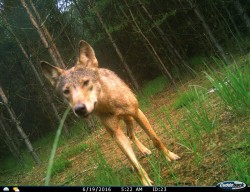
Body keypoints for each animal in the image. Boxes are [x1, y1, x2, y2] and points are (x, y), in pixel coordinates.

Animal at [42, 39, 181, 185]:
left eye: (86, 82)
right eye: (66, 91)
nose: (79, 109)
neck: (108, 104)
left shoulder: (137, 113)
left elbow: (156, 140)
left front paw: (170, 156)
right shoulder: (115, 132)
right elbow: (135, 163)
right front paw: (145, 181)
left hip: (130, 119)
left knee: (131, 135)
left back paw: (145, 150)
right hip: (114, 132)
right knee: (128, 140)